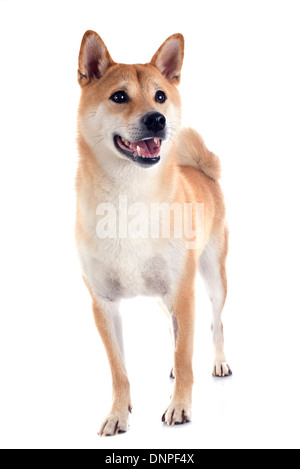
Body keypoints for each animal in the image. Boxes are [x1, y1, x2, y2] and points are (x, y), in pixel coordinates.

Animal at [76, 31, 231, 436]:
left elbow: (189, 349)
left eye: (160, 96)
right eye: (119, 96)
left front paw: (180, 406)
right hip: (169, 297)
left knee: (215, 323)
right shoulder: (103, 304)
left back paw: (218, 362)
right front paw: (118, 412)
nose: (157, 119)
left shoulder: (183, 291)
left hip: (211, 278)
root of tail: (200, 171)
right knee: (178, 335)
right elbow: (119, 370)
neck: (129, 197)